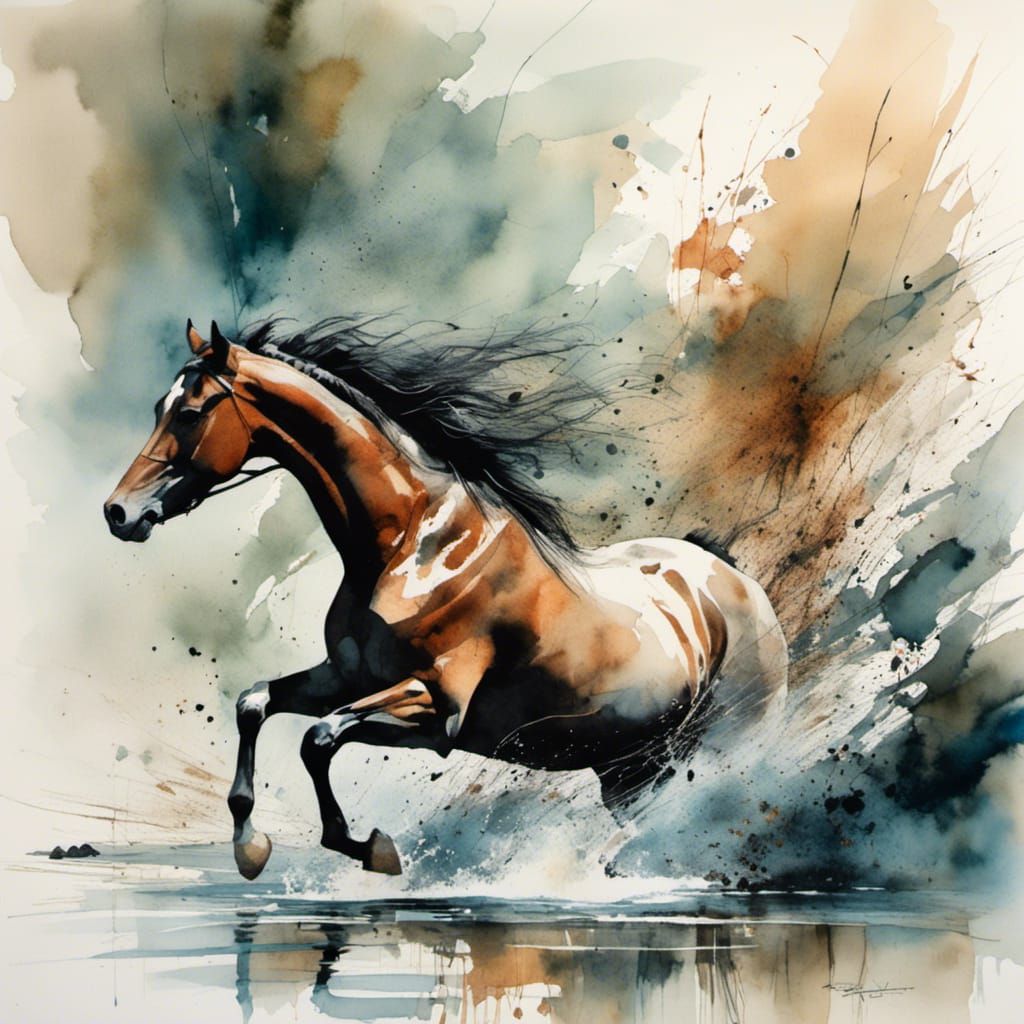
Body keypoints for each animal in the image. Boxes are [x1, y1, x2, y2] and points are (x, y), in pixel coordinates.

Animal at [104, 319, 788, 879]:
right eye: (160, 406)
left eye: (191, 412)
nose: (119, 513)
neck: (413, 544)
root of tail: (737, 583)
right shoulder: (344, 676)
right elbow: (254, 704)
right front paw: (250, 845)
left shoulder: (438, 708)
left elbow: (319, 738)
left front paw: (372, 849)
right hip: (631, 768)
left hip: (719, 748)